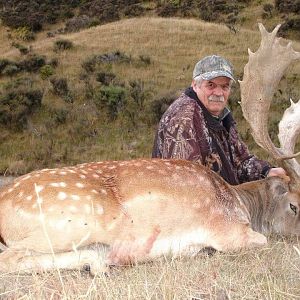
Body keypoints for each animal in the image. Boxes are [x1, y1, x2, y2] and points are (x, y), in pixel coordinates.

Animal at [0, 24, 298, 274]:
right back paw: (100, 260)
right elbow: (262, 240)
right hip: (64, 226)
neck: (240, 202)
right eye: (294, 206)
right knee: (10, 258)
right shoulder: (228, 231)